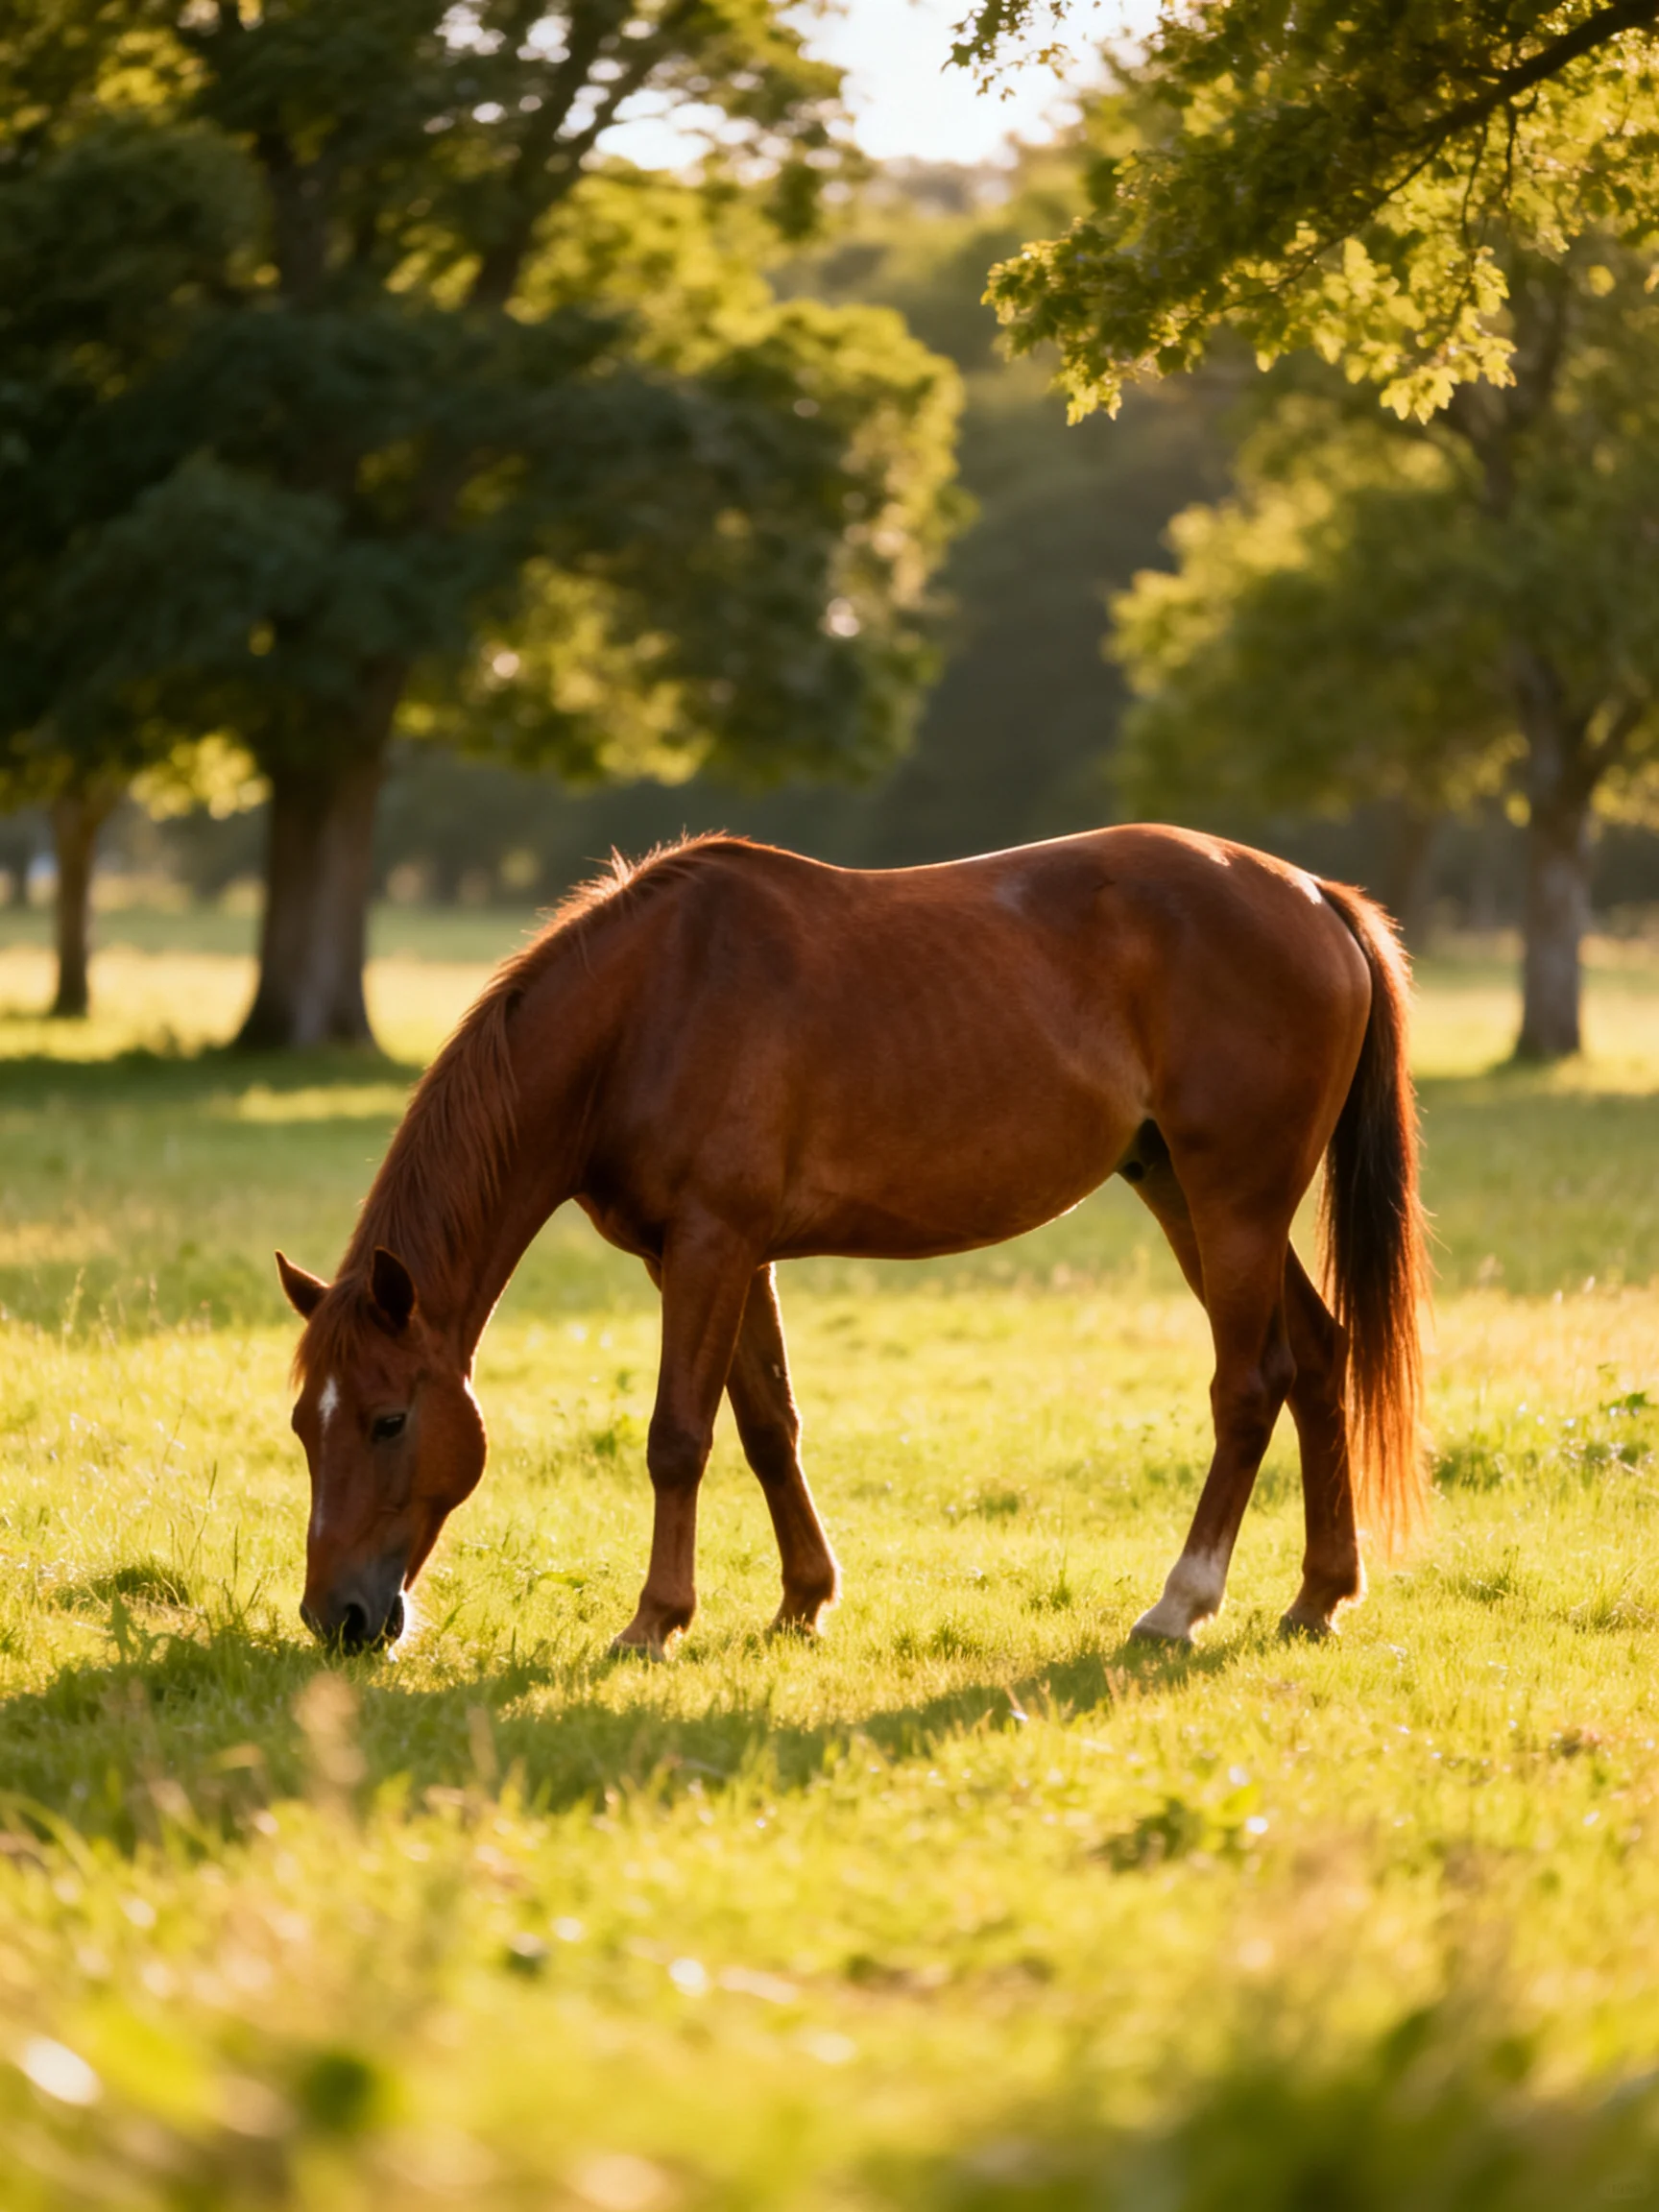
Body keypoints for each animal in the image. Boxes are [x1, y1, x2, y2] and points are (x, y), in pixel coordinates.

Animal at [276, 825, 1427, 1658]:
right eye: (301, 1426)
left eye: (387, 1420)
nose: (337, 1619)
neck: (647, 1008)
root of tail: (1316, 897)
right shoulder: (723, 1255)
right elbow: (766, 1427)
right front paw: (802, 1601)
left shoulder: (709, 1247)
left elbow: (678, 1436)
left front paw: (654, 1621)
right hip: (1188, 1195)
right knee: (1320, 1357)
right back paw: (1321, 1596)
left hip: (1234, 1203)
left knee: (1251, 1385)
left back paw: (1181, 1605)